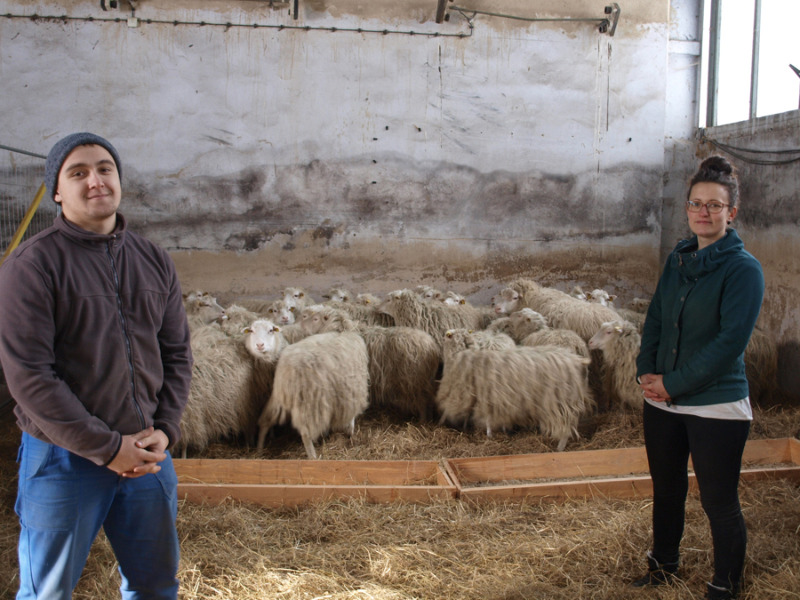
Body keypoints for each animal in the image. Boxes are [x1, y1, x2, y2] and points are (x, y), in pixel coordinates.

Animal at [256, 330, 368, 458]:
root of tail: (289, 371)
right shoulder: (352, 391)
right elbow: (351, 416)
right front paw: (350, 432)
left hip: (280, 397)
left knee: (266, 420)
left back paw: (259, 449)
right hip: (311, 401)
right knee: (305, 434)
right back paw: (313, 456)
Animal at [434, 332, 592, 450]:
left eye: (448, 336)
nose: (441, 338)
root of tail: (578, 361)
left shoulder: (486, 395)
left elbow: (487, 419)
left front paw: (489, 435)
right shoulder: (492, 397)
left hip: (560, 401)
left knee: (566, 428)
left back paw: (559, 448)